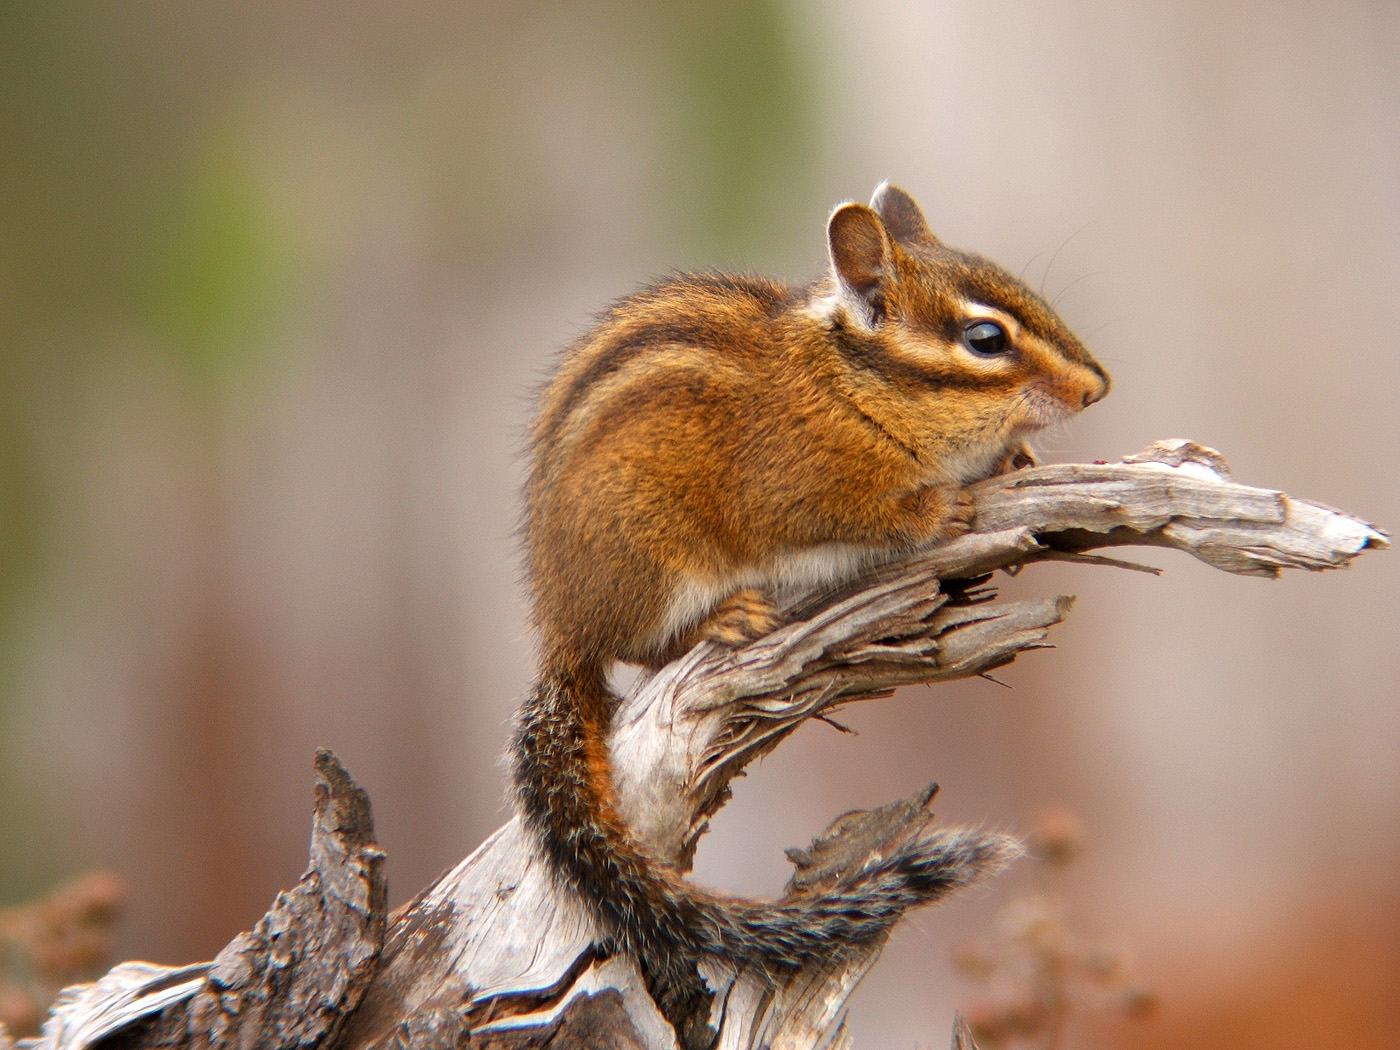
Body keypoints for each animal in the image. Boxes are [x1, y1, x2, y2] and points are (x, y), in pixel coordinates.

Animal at [514, 183, 1109, 1040]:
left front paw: (1015, 456)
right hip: (657, 557)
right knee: (647, 647)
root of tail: (559, 623)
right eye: (986, 339)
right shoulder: (800, 489)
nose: (1099, 386)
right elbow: (869, 515)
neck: (852, 387)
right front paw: (939, 509)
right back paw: (720, 621)